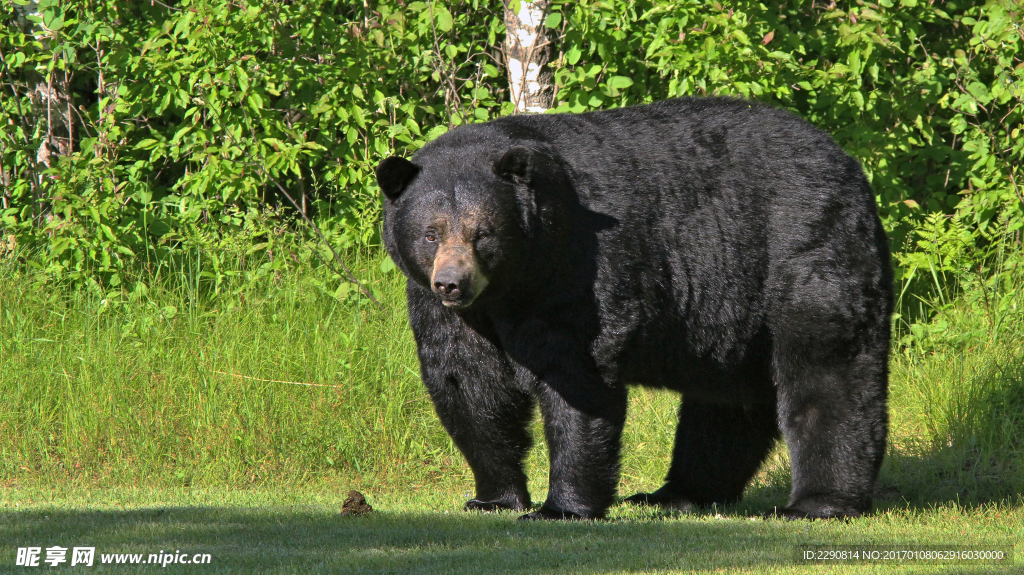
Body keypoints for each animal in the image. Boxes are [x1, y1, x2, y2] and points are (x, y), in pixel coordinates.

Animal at [375, 97, 892, 520]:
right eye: (430, 232)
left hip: (803, 247)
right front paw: (493, 497)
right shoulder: (445, 309)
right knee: (725, 404)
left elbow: (574, 374)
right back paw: (676, 493)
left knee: (826, 367)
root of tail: (847, 160)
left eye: (483, 232)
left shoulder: (576, 269)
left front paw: (563, 506)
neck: (511, 285)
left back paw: (817, 502)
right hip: (733, 311)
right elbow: (467, 382)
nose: (452, 283)